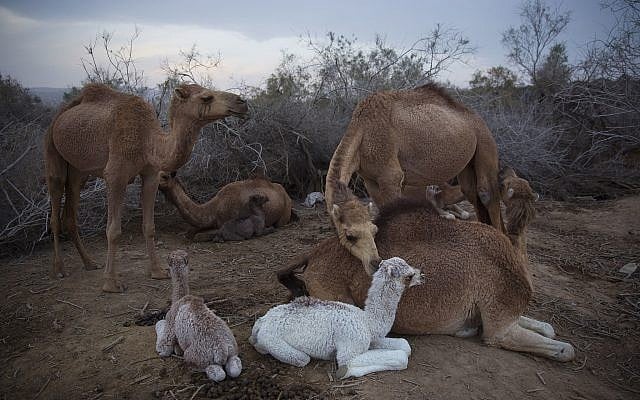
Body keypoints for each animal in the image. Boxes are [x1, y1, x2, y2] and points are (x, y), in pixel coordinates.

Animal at [44, 83, 248, 292]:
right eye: (206, 97)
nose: (242, 103)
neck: (148, 141)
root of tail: (62, 112)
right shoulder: (115, 176)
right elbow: (113, 230)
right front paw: (111, 283)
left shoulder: (151, 174)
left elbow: (149, 226)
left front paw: (158, 271)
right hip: (51, 150)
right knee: (55, 204)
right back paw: (59, 269)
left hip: (79, 171)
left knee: (70, 210)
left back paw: (90, 263)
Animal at [325, 84, 504, 270]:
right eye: (350, 236)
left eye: (373, 231)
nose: (374, 262)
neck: (362, 131)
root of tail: (477, 117)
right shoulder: (370, 180)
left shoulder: (390, 176)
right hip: (468, 164)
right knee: (471, 192)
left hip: (485, 141)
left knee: (486, 193)